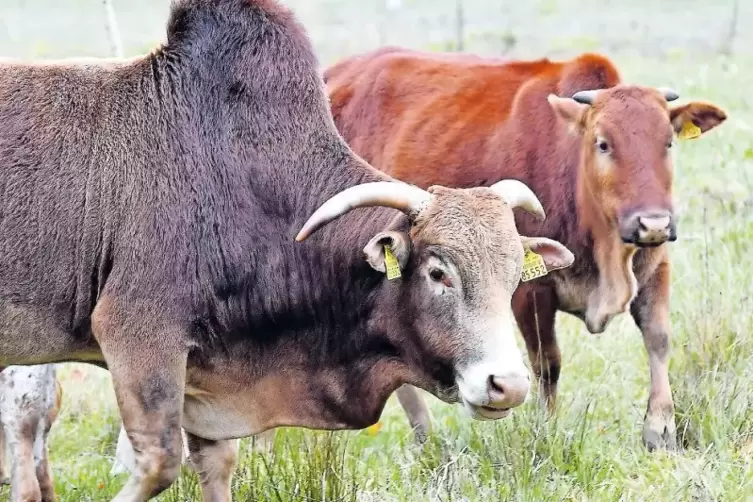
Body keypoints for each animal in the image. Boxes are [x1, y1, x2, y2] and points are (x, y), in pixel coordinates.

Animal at [0, 1, 572, 500]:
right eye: (437, 273)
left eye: (514, 275)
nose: (507, 386)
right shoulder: (137, 331)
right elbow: (159, 461)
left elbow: (217, 464)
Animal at [326, 48, 724, 452]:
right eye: (603, 143)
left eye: (668, 143)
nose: (653, 223)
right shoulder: (531, 291)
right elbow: (547, 364)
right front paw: (546, 430)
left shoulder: (655, 266)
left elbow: (658, 340)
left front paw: (660, 429)